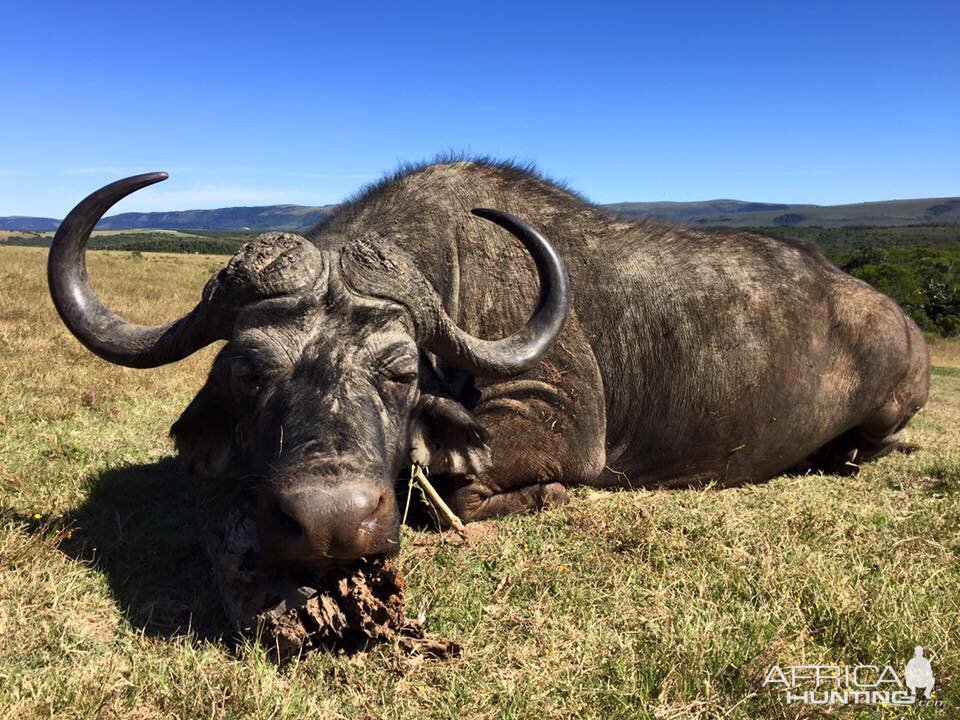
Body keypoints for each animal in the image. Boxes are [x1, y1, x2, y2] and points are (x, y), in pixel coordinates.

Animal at [47, 162, 928, 572]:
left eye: (400, 372)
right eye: (249, 369)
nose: (331, 520)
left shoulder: (553, 422)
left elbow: (459, 492)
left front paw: (547, 495)